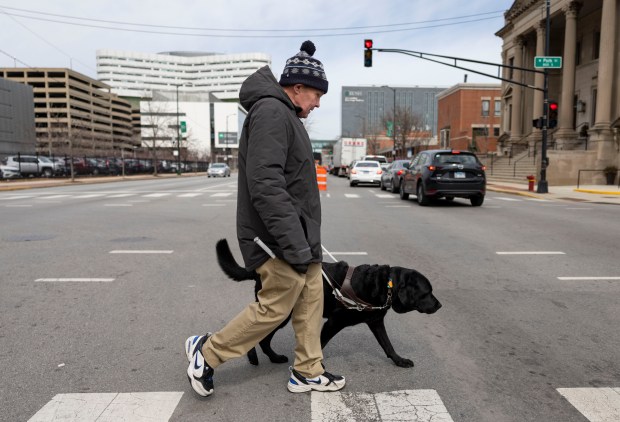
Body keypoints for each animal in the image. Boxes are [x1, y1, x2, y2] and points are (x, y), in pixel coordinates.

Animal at [217, 239, 440, 368]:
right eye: (427, 292)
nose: (440, 306)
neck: (385, 284)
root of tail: (261, 271)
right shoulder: (333, 322)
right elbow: (321, 344)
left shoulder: (376, 322)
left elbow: (388, 344)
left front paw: (399, 360)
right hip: (282, 312)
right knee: (260, 335)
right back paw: (265, 357)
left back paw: (267, 358)